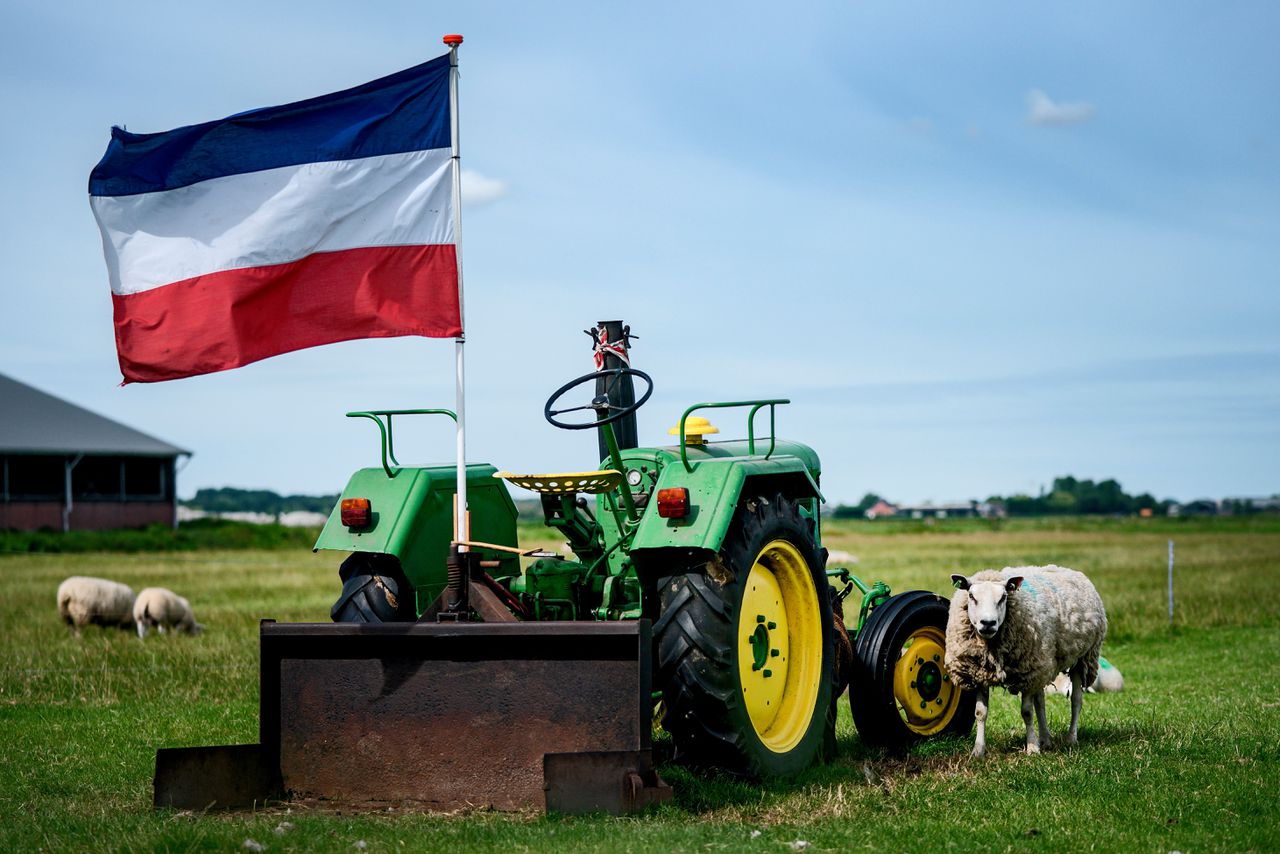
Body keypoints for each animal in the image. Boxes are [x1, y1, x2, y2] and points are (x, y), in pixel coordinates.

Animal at [942, 563, 1111, 757]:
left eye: (1003, 597)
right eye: (971, 596)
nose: (988, 623)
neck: (991, 648)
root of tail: (1068, 570)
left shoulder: (1028, 671)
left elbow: (1027, 712)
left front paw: (1032, 747)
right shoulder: (980, 673)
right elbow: (980, 713)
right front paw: (978, 750)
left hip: (1081, 658)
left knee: (1076, 701)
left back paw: (1070, 738)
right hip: (1044, 664)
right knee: (1041, 702)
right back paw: (1045, 739)